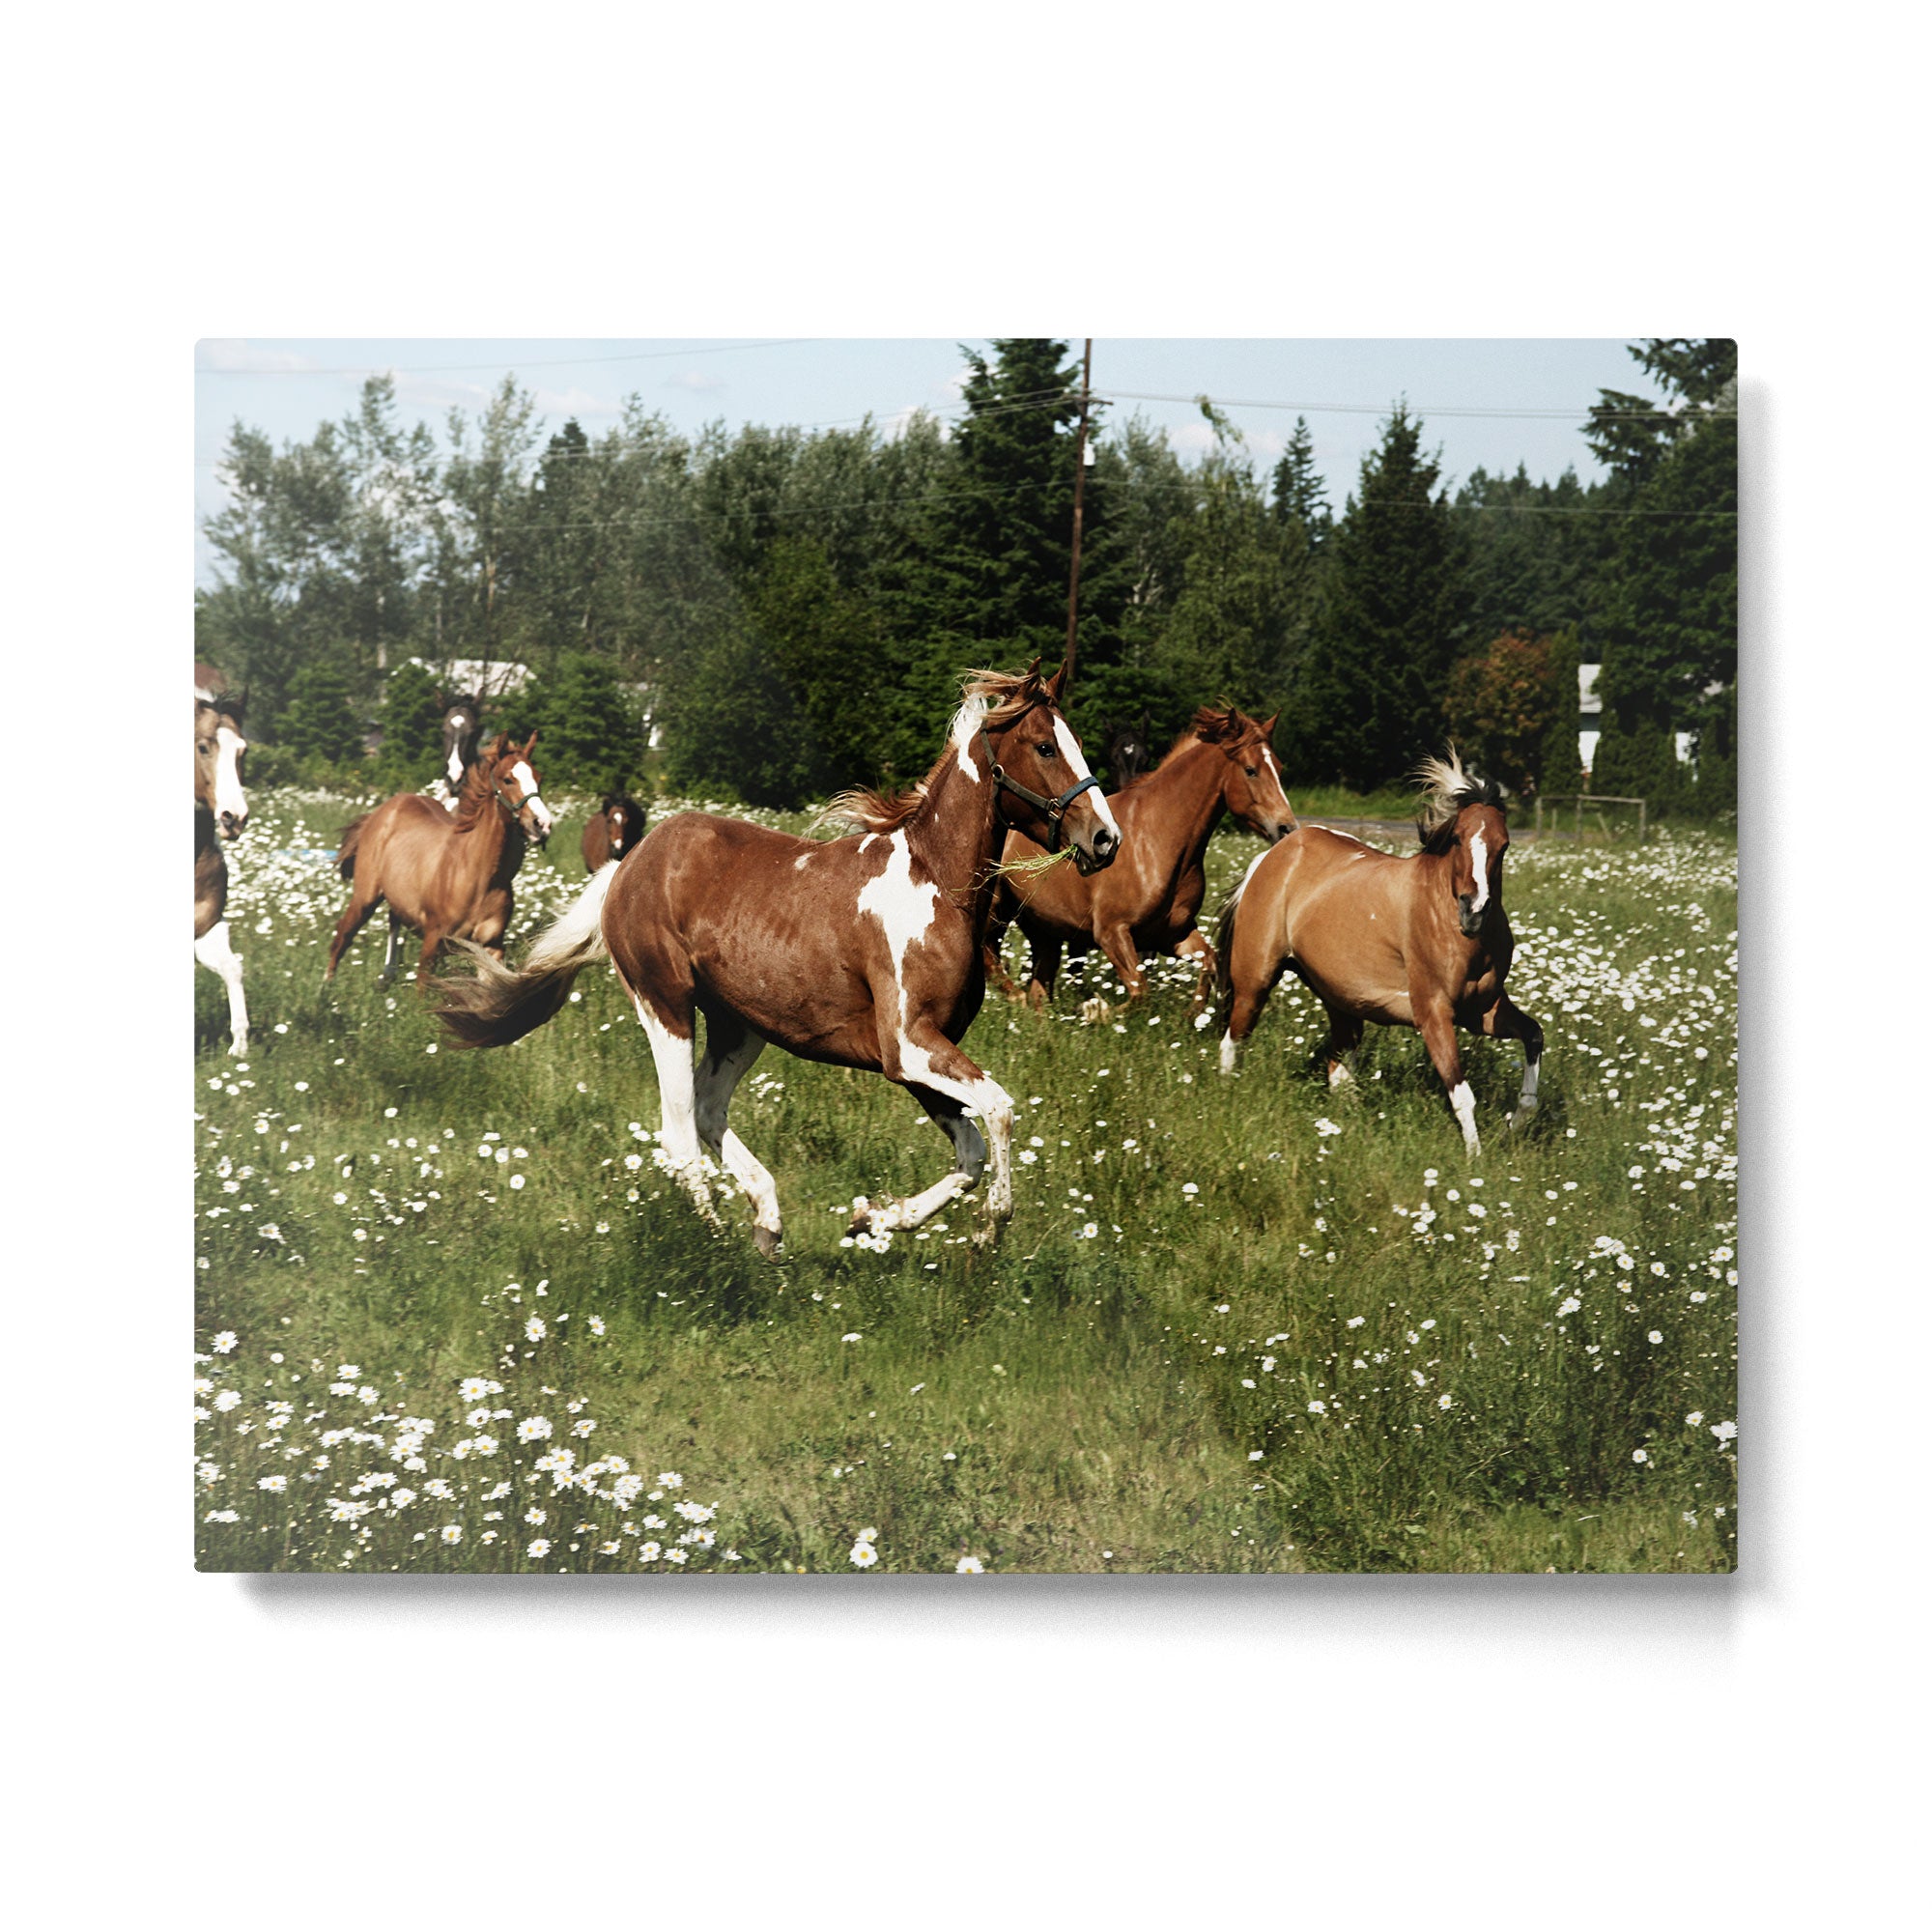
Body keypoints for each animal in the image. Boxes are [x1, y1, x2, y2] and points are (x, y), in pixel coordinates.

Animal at [327, 731, 554, 991]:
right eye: (508, 780)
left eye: (539, 778)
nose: (542, 824)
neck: (480, 876)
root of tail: (382, 811)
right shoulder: (433, 939)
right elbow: (423, 988)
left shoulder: (492, 946)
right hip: (365, 897)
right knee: (343, 934)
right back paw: (327, 988)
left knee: (394, 920)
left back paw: (387, 975)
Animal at [436, 663, 1122, 1254]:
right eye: (1044, 747)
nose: (1106, 840)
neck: (934, 886)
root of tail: (628, 865)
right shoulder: (910, 1046)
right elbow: (1001, 1112)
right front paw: (988, 1230)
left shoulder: (919, 1056)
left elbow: (972, 1152)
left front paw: (874, 1219)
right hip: (666, 1007)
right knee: (678, 1131)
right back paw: (718, 1245)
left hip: (740, 1026)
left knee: (708, 1111)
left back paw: (767, 1220)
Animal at [987, 705, 1295, 1011]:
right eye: (1251, 770)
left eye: (1280, 768)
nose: (1286, 828)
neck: (1155, 842)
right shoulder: (1111, 932)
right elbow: (1139, 992)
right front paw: (1096, 1011)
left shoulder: (1172, 934)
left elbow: (1208, 962)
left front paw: (1194, 1015)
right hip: (997, 910)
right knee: (990, 955)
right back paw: (1017, 997)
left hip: (1041, 928)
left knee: (1039, 981)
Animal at [1213, 749, 1543, 1157]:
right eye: (1457, 839)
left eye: (1504, 845)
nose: (1474, 911)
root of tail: (1274, 856)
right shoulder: (1433, 1013)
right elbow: (1462, 1094)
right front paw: (1475, 1158)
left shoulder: (1482, 1010)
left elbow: (1533, 1036)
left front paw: (1516, 1123)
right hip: (1255, 980)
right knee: (1233, 1040)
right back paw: (1229, 1096)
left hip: (1340, 1000)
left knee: (1338, 1070)